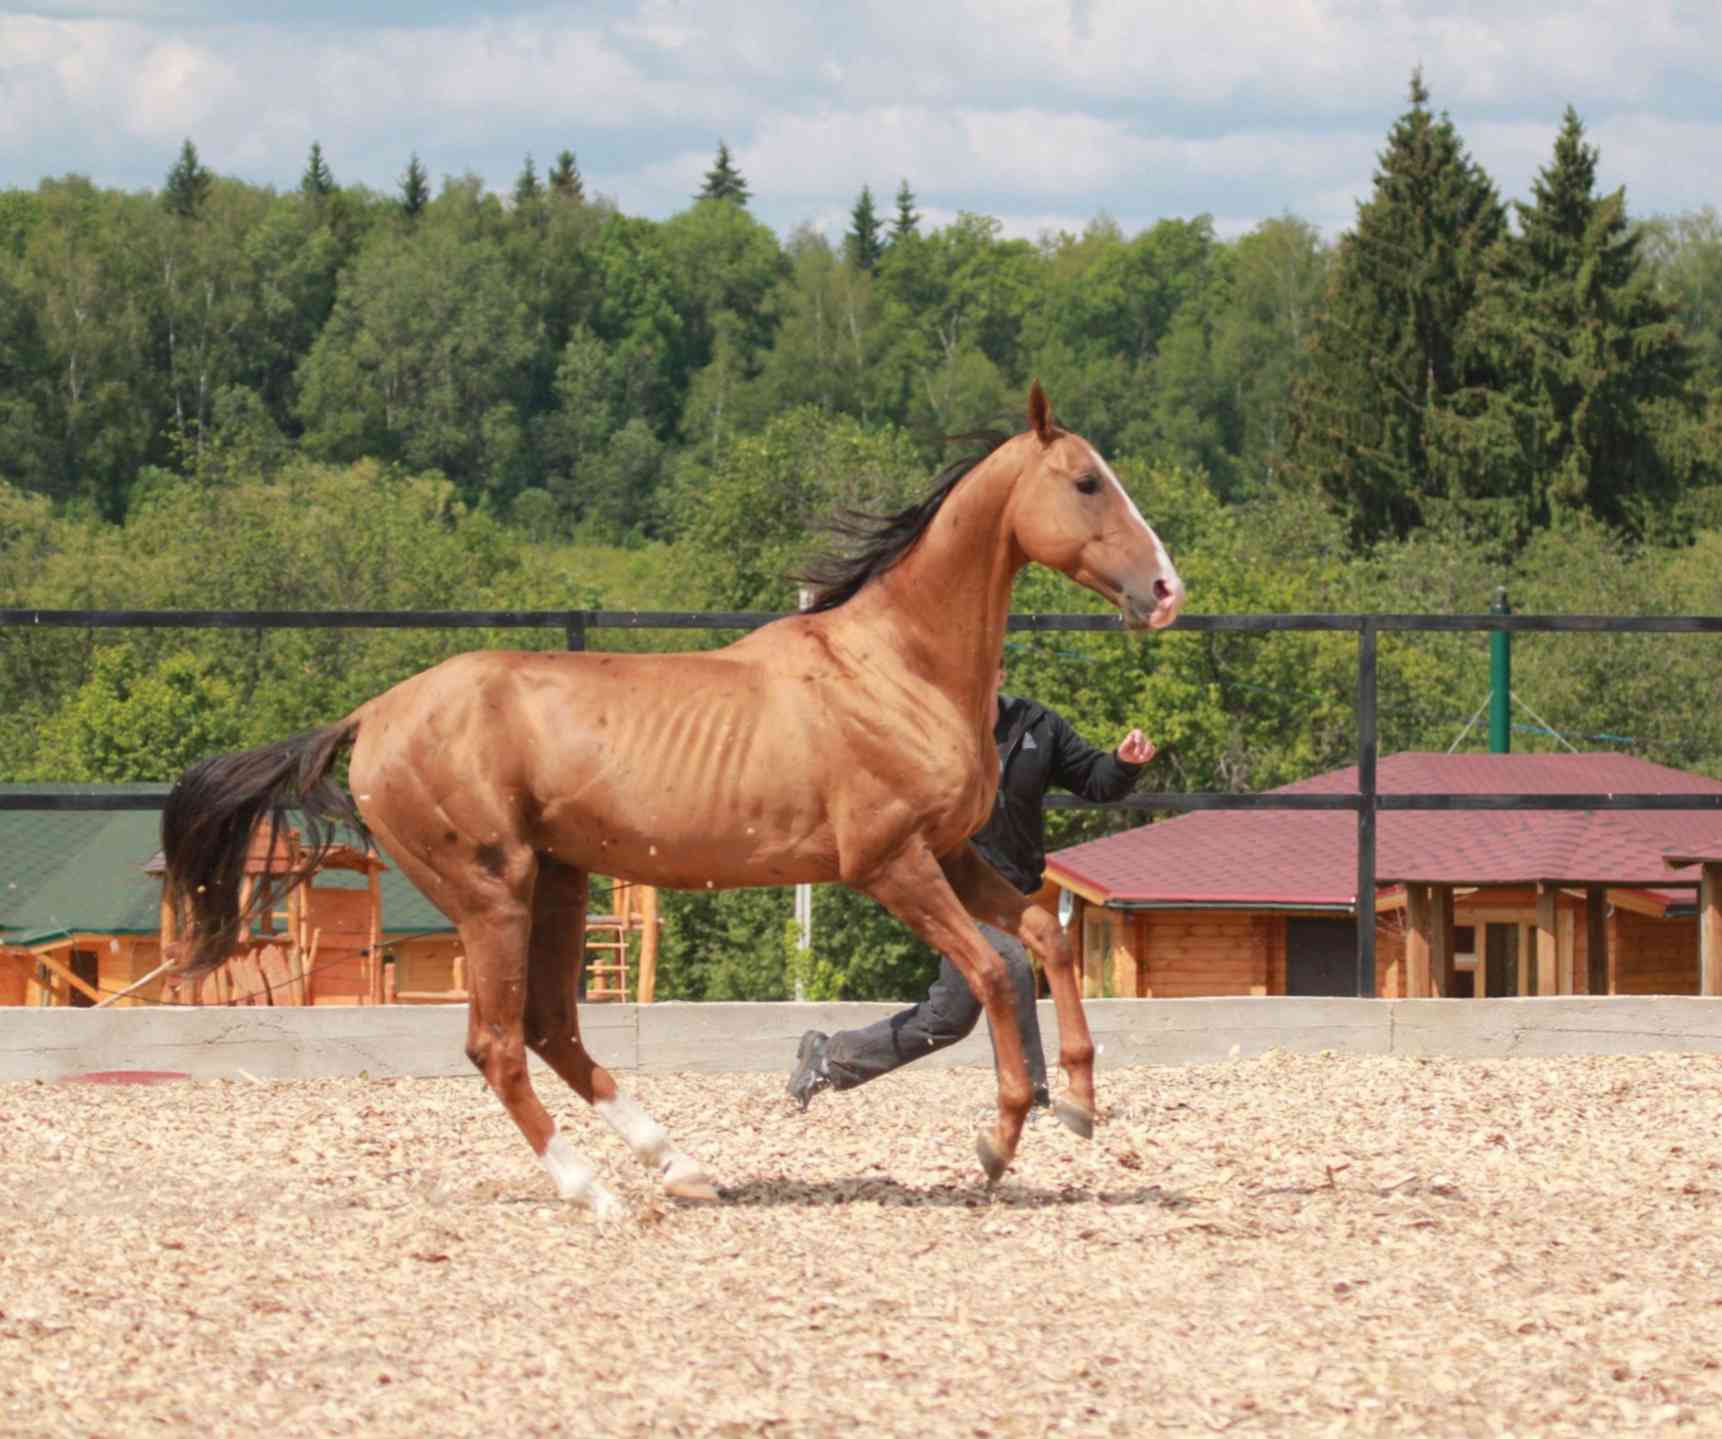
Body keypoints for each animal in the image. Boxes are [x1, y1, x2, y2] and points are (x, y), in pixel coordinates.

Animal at [161, 385, 1184, 1211]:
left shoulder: (952, 850)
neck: (896, 665)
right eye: (1087, 482)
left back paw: (680, 1164)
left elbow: (1045, 934)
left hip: (560, 884)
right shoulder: (890, 863)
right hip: (493, 892)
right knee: (496, 1043)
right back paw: (594, 1192)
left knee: (552, 1029)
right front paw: (998, 1141)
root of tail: (370, 716)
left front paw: (1080, 1105)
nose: (1167, 589)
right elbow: (990, 973)